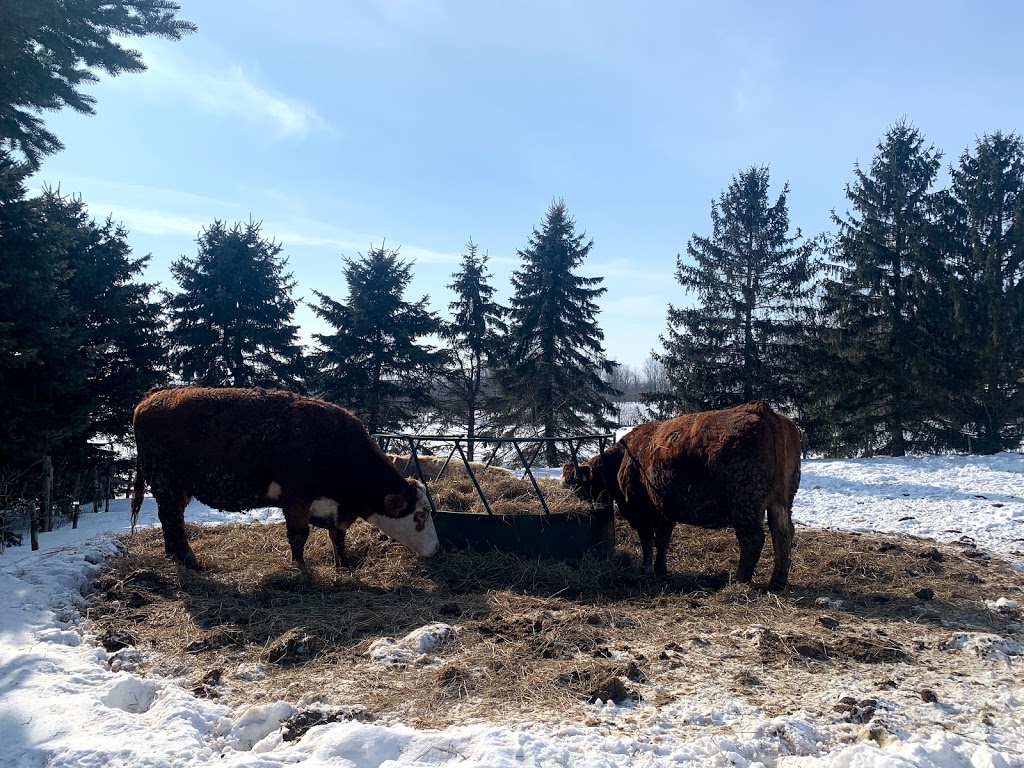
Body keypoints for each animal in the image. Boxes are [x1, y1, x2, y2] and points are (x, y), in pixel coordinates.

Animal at [130, 385, 438, 573]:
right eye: (421, 515)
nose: (436, 548)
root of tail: (155, 395)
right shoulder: (297, 498)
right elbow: (298, 536)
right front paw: (300, 567)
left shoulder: (336, 508)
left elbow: (338, 536)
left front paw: (344, 564)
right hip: (165, 483)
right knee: (172, 519)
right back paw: (189, 561)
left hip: (178, 488)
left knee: (173, 520)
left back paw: (174, 556)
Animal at [565, 403, 802, 589]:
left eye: (574, 483)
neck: (624, 458)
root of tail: (760, 409)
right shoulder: (664, 511)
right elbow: (662, 540)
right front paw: (660, 568)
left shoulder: (641, 512)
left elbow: (647, 541)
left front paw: (646, 569)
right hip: (780, 501)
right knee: (782, 533)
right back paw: (777, 582)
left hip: (745, 503)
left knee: (753, 539)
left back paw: (740, 580)